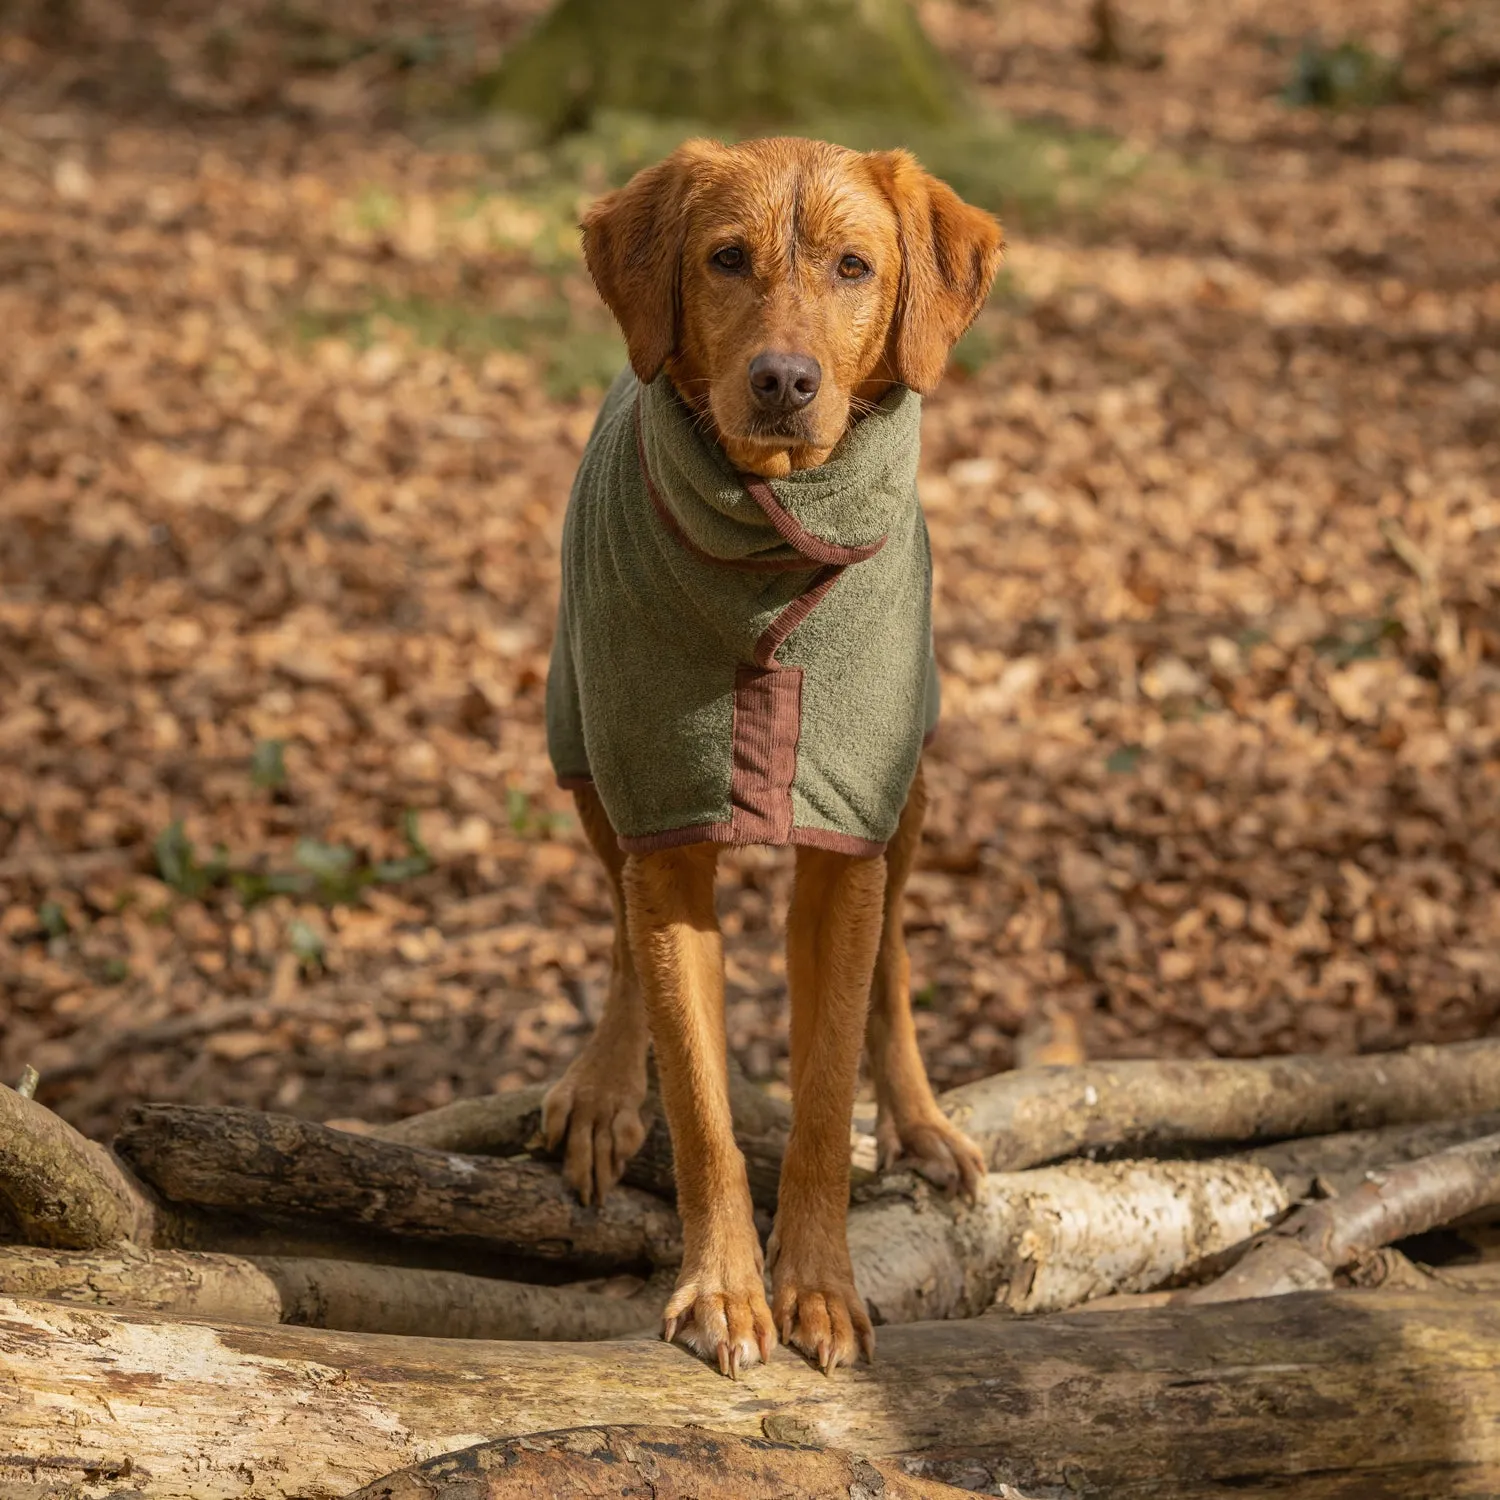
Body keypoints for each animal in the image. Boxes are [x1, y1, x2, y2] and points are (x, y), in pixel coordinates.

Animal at [546, 135, 1002, 1374]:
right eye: (725, 259)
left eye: (853, 266)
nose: (785, 381)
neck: (769, 542)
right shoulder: (660, 820)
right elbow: (700, 1099)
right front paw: (724, 1291)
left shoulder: (846, 838)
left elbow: (824, 1088)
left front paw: (821, 1290)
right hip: (582, 742)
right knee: (617, 929)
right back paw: (605, 1084)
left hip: (910, 789)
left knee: (894, 968)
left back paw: (921, 1121)